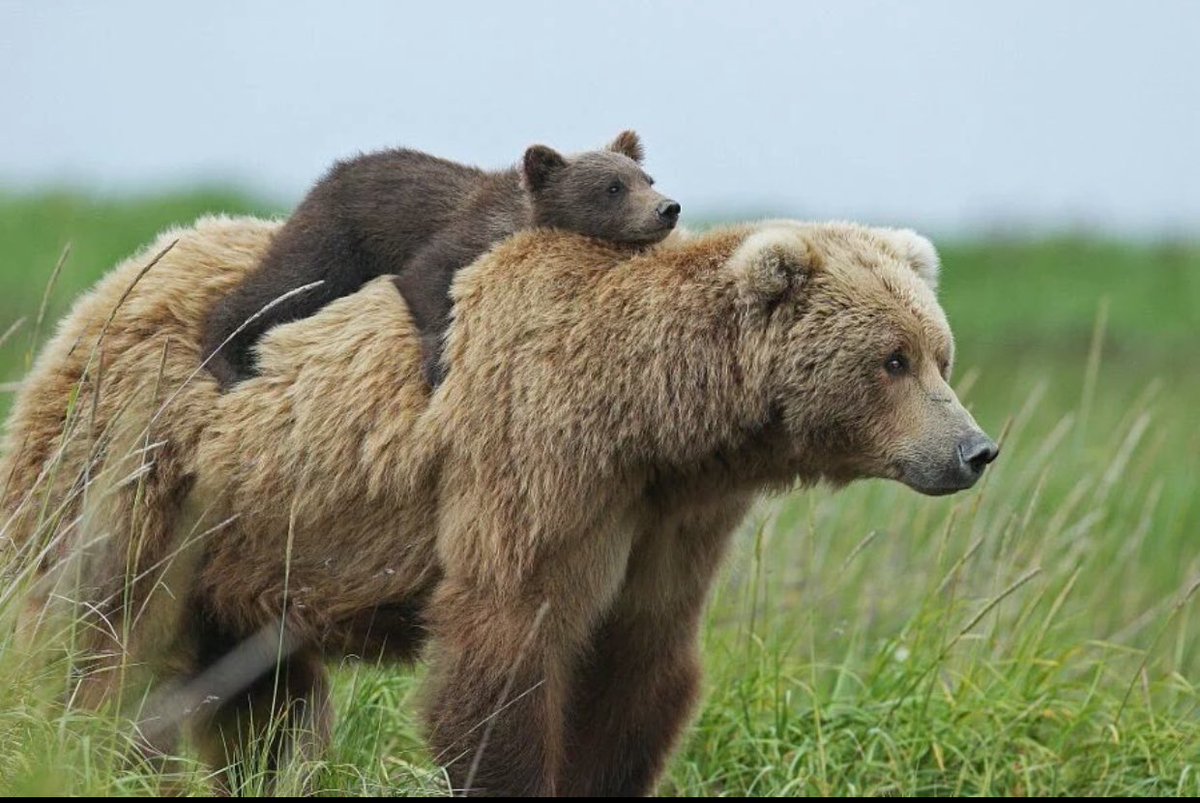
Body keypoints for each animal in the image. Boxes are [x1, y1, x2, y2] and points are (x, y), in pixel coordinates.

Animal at [0, 216, 997, 795]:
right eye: (893, 358)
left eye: (939, 350)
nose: (974, 449)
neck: (654, 420)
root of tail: (112, 281)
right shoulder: (538, 463)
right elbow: (507, 648)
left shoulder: (668, 519)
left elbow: (639, 665)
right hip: (138, 466)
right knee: (97, 638)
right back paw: (89, 755)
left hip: (245, 542)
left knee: (260, 694)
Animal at [200, 130, 680, 389]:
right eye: (613, 187)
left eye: (647, 178)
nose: (668, 208)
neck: (520, 217)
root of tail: (330, 174)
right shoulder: (463, 235)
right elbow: (425, 278)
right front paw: (438, 363)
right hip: (337, 237)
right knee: (286, 285)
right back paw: (226, 359)